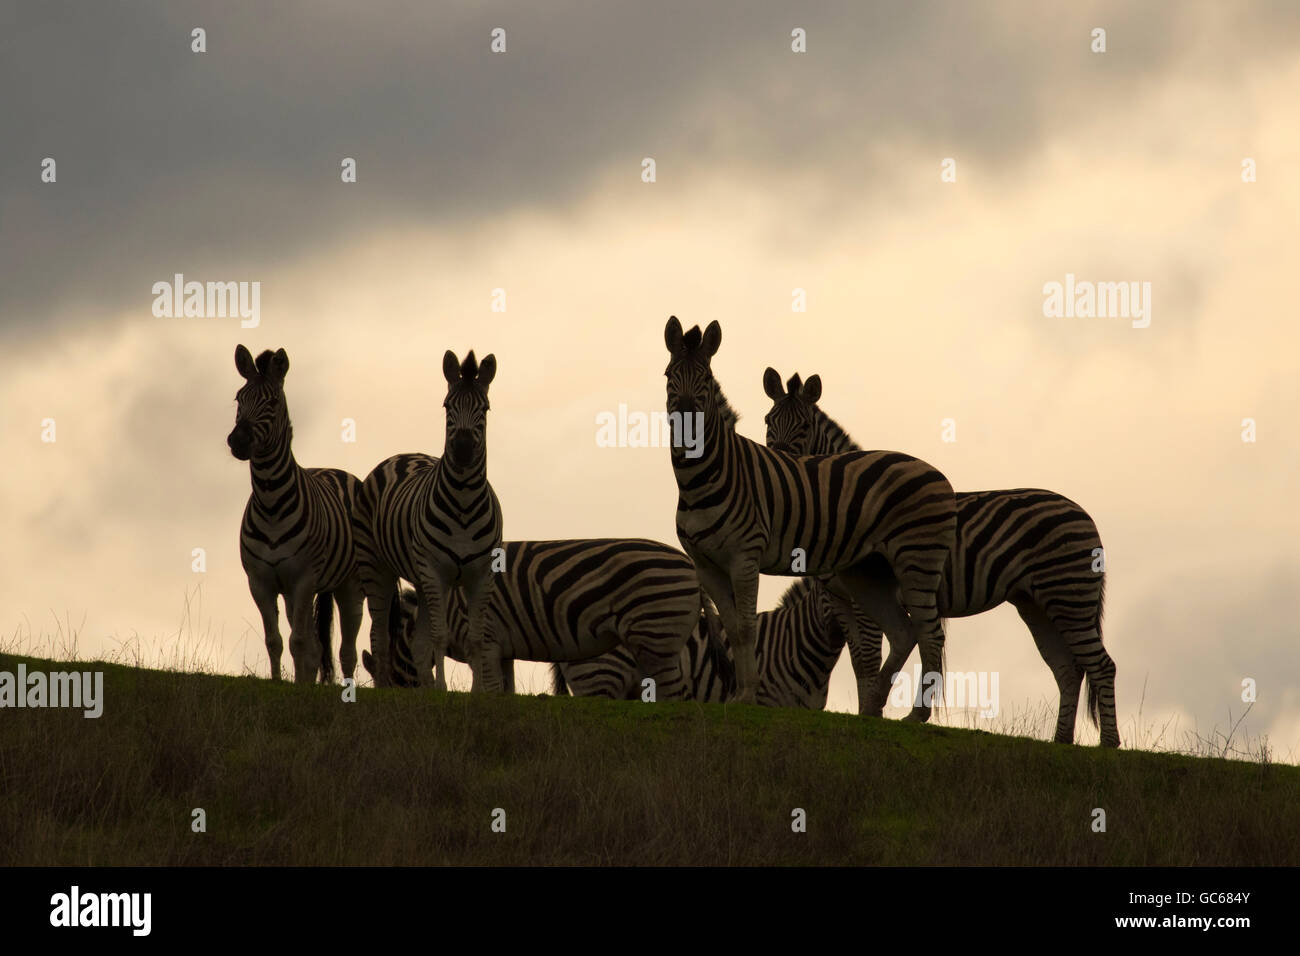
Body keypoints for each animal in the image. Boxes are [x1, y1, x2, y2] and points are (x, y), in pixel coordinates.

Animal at [227, 345, 365, 684]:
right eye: (238, 398)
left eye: (273, 402)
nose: (238, 441)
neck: (271, 502)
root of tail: (336, 470)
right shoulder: (261, 582)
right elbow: (275, 641)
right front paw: (280, 684)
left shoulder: (304, 579)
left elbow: (299, 641)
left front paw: (299, 688)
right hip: (297, 592)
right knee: (316, 646)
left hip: (350, 584)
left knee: (347, 651)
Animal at [354, 350, 505, 691]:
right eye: (448, 406)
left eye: (485, 408)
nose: (462, 449)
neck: (464, 501)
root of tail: (403, 455)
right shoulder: (436, 571)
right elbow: (440, 636)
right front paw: (443, 691)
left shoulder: (481, 574)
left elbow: (474, 639)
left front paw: (476, 693)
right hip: (376, 567)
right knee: (380, 636)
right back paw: (386, 688)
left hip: (421, 579)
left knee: (416, 643)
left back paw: (422, 688)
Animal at [360, 539, 703, 699]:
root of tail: (690, 565)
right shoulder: (501, 649)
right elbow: (505, 690)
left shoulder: (485, 641)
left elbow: (490, 688)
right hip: (658, 641)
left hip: (656, 635)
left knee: (676, 695)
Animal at [663, 316, 958, 710]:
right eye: (669, 375)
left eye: (707, 381)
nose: (685, 425)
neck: (705, 479)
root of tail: (935, 472)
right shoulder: (706, 564)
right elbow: (733, 628)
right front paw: (739, 694)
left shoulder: (745, 556)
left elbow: (747, 626)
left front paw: (748, 695)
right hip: (870, 574)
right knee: (905, 633)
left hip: (917, 562)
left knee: (930, 637)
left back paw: (915, 715)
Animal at [763, 367, 1120, 747]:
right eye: (769, 420)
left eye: (804, 426)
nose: (779, 461)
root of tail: (1083, 513)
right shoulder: (839, 598)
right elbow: (860, 661)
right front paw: (867, 711)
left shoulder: (863, 600)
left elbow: (871, 659)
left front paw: (871, 714)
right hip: (1036, 602)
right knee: (1068, 668)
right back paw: (1061, 740)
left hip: (1069, 594)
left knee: (1101, 665)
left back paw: (1109, 742)